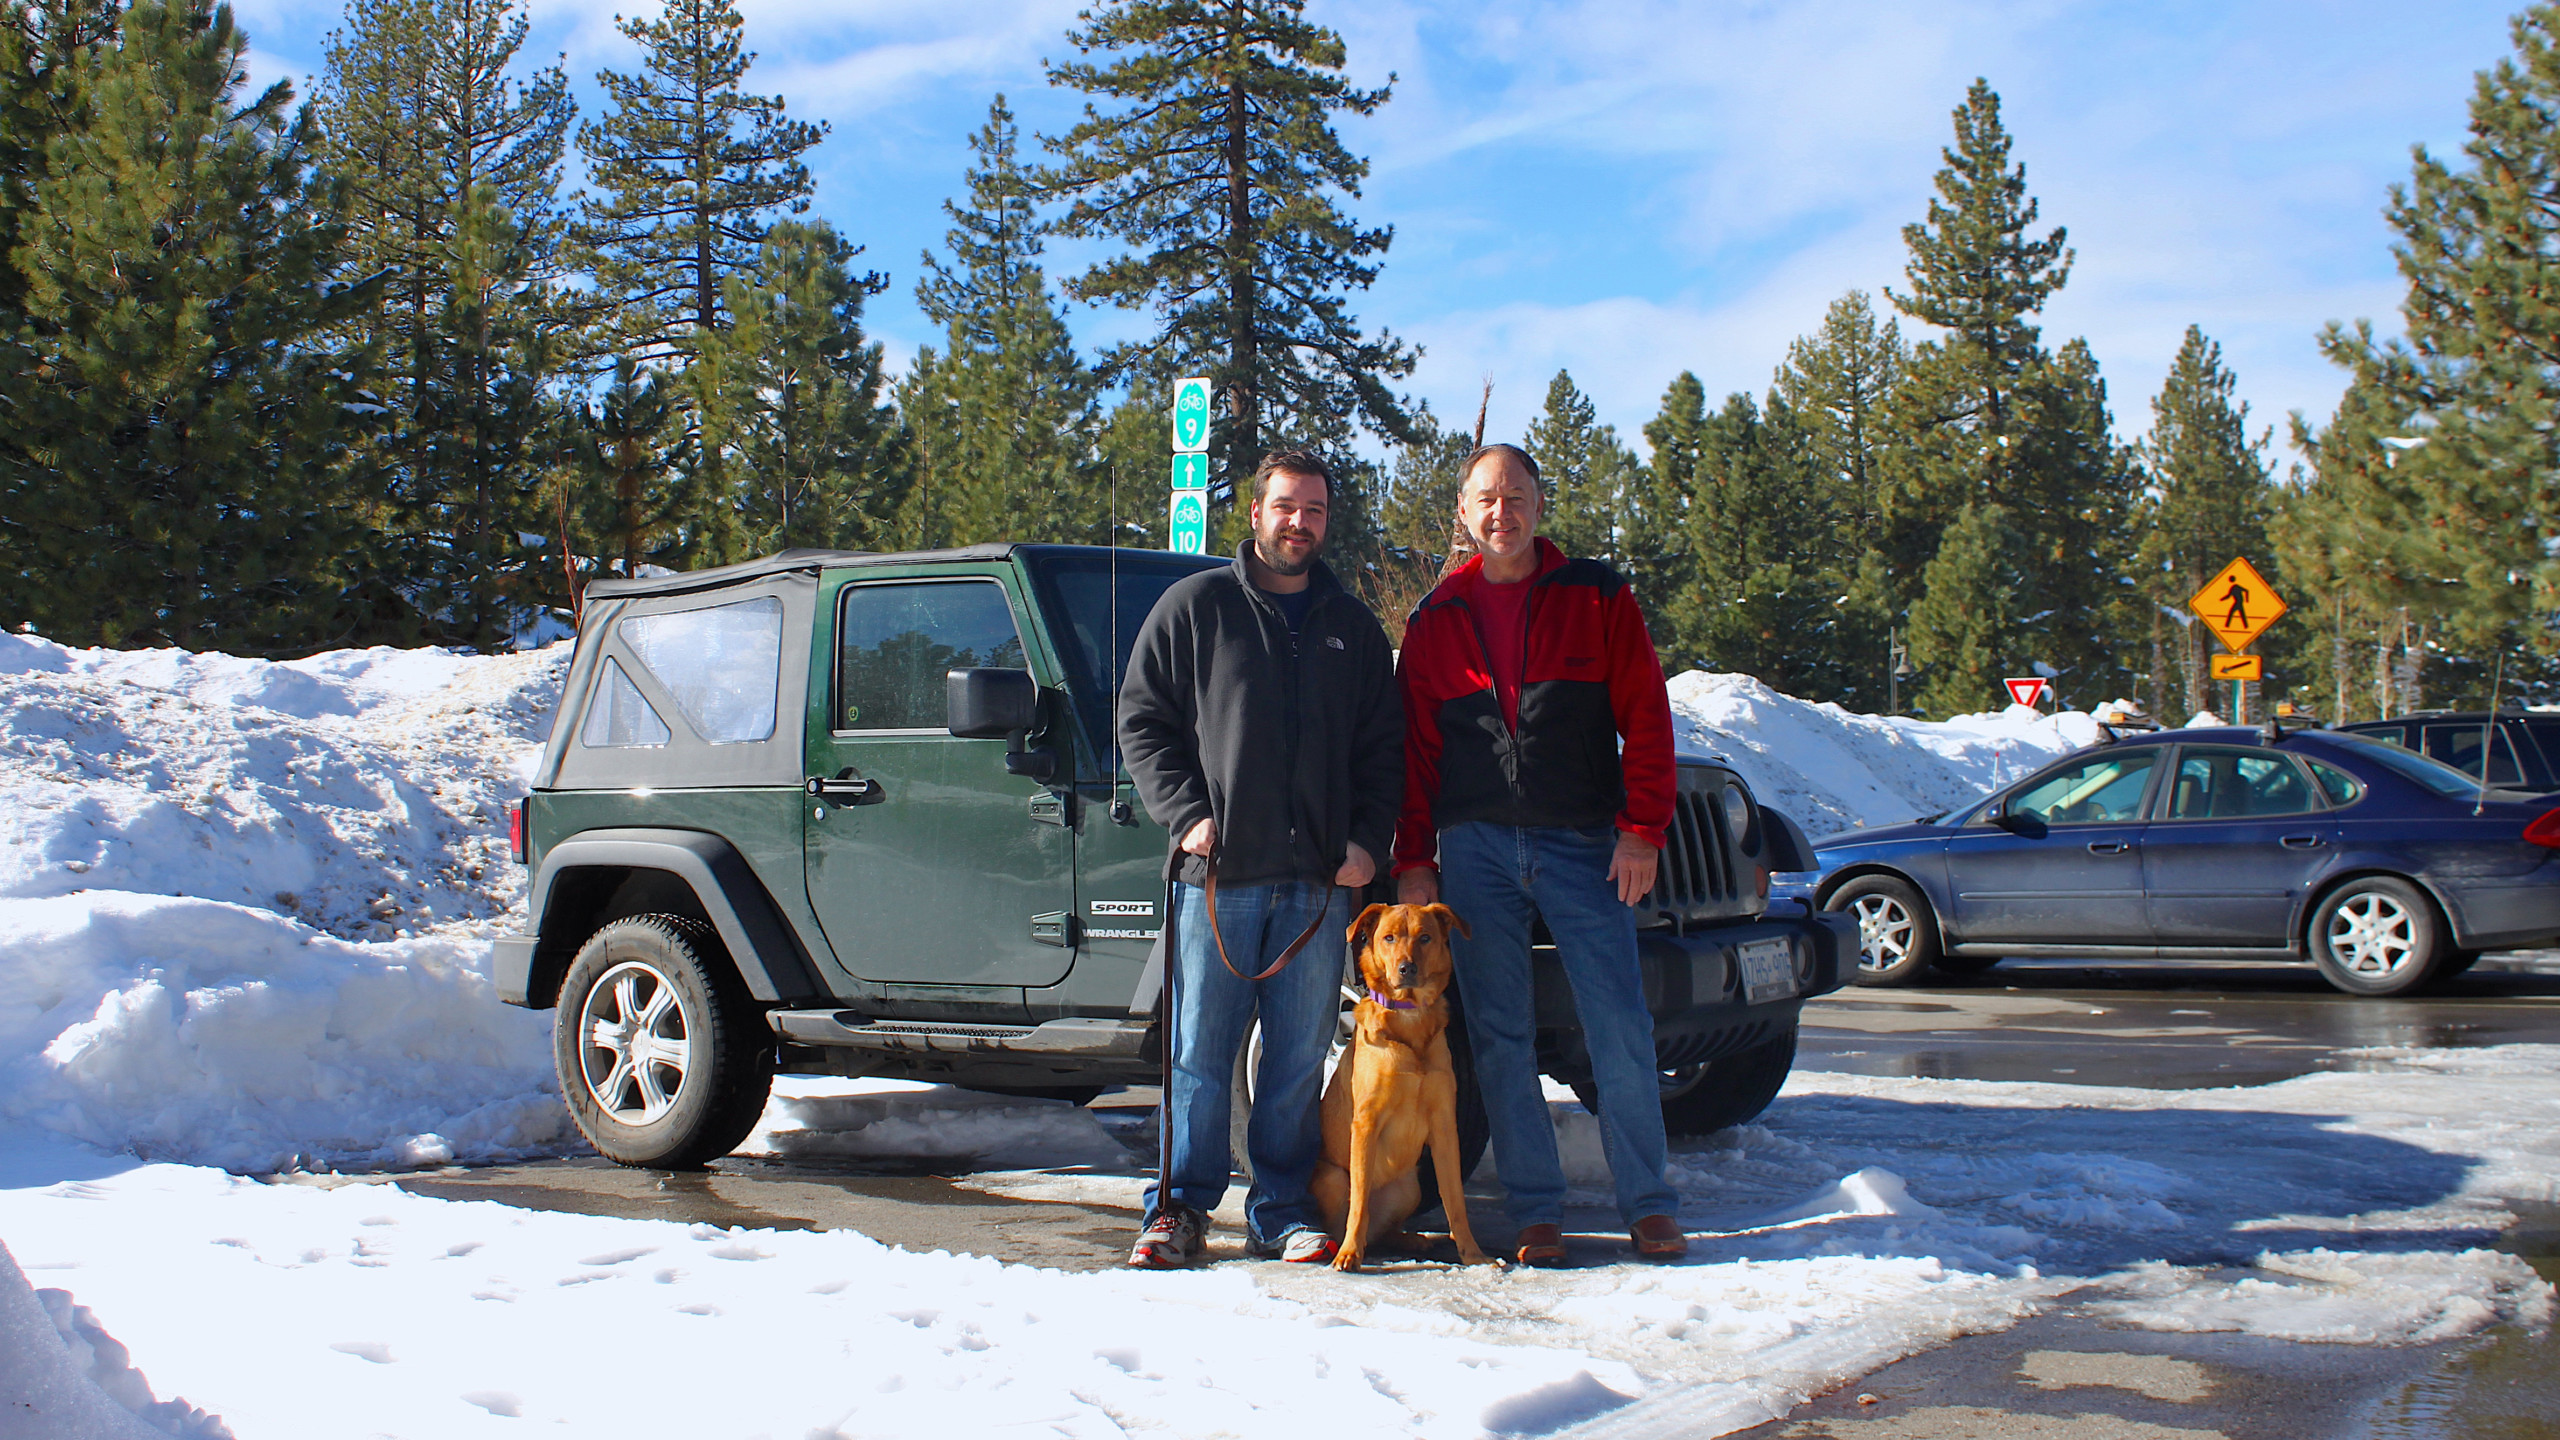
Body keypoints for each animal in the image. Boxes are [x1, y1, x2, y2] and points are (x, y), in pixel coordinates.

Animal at [1310, 901, 1495, 1260]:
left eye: (1425, 937)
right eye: (1389, 938)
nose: (1407, 968)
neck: (1409, 1015)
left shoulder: (1444, 1124)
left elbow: (1455, 1201)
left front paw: (1473, 1254)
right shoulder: (1366, 1122)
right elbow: (1359, 1203)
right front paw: (1349, 1255)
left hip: (1410, 1187)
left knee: (1383, 1231)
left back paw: (1408, 1239)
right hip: (1333, 1177)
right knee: (1347, 1218)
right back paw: (1339, 1245)